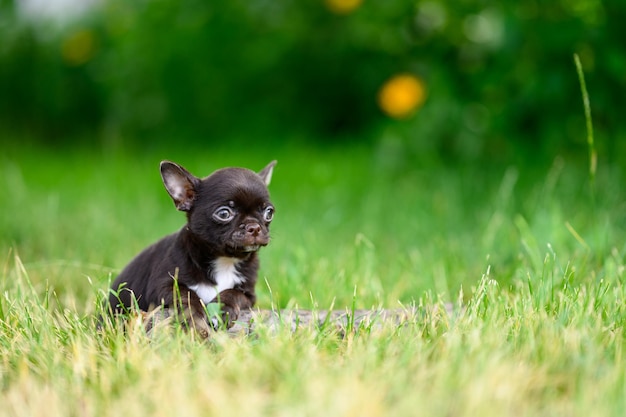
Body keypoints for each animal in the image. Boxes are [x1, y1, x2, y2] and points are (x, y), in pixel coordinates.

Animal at [108, 159, 274, 334]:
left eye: (269, 213)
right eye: (224, 214)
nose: (254, 227)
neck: (224, 260)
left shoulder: (248, 294)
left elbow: (232, 293)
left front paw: (222, 311)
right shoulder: (164, 286)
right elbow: (186, 295)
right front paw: (194, 320)